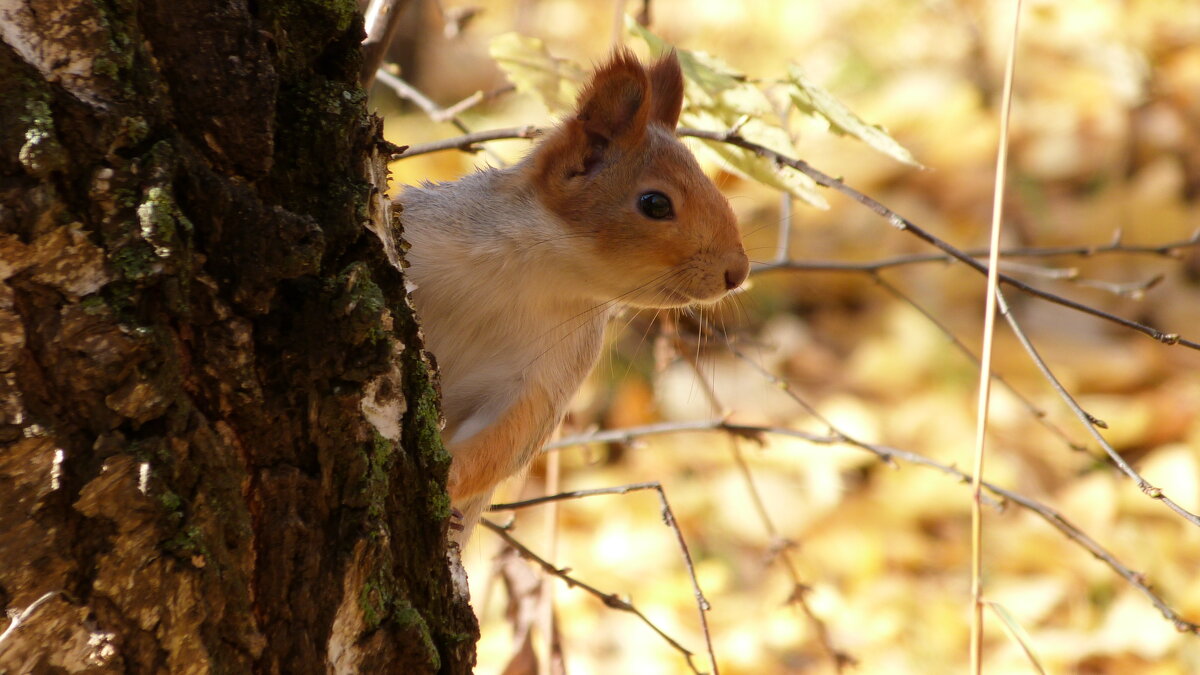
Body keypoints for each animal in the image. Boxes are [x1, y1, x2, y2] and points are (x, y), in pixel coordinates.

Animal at [396, 49, 748, 542]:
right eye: (655, 204)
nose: (739, 271)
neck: (531, 276)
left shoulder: (549, 373)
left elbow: (507, 440)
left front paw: (448, 481)